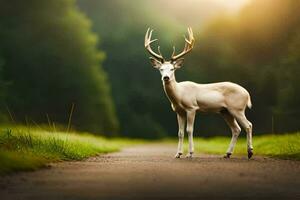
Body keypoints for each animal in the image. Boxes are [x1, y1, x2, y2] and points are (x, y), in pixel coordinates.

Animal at [144, 28, 252, 159]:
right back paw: (227, 153)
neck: (179, 95)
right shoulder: (179, 111)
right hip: (225, 111)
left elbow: (189, 130)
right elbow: (180, 132)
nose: (166, 77)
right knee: (236, 129)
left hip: (237, 108)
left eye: (172, 69)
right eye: (161, 69)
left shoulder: (192, 107)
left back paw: (250, 152)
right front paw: (178, 154)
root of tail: (247, 94)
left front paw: (190, 153)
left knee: (248, 125)